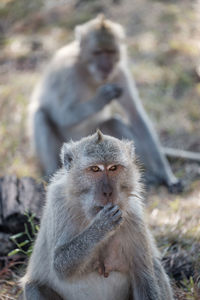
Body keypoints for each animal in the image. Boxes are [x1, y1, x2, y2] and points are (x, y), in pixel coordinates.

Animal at [29, 14, 181, 191]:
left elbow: (135, 114)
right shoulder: (67, 73)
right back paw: (53, 175)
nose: (106, 66)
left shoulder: (119, 73)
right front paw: (101, 97)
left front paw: (166, 174)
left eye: (110, 52)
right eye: (98, 52)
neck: (89, 72)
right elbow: (61, 115)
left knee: (112, 123)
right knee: (40, 115)